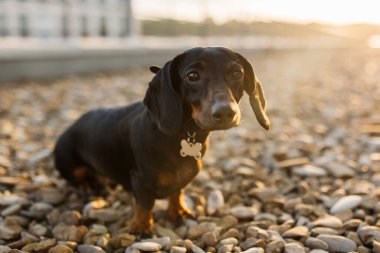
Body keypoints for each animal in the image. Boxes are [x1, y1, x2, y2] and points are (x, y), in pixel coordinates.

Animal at [55, 46, 272, 236]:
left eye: (237, 73)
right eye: (192, 76)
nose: (226, 112)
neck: (180, 135)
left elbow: (176, 192)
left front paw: (177, 212)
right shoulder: (140, 179)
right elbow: (144, 205)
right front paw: (142, 227)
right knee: (77, 177)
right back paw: (87, 186)